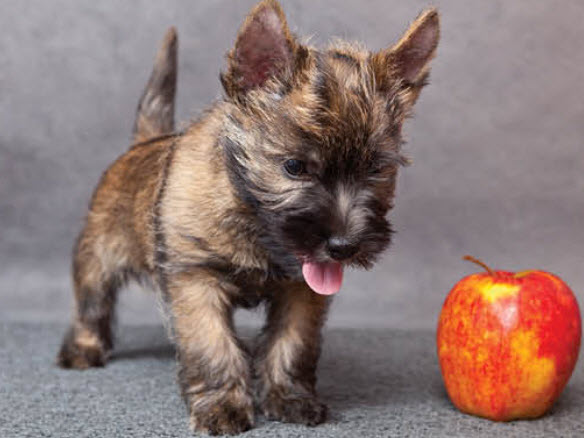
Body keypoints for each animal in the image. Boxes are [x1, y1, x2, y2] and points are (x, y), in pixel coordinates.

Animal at [57, 1, 438, 434]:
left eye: (376, 169)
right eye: (294, 167)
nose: (344, 246)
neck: (253, 226)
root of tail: (144, 142)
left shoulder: (302, 292)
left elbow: (292, 343)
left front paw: (290, 398)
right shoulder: (195, 280)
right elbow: (213, 346)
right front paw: (222, 407)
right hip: (97, 256)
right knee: (91, 304)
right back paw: (83, 349)